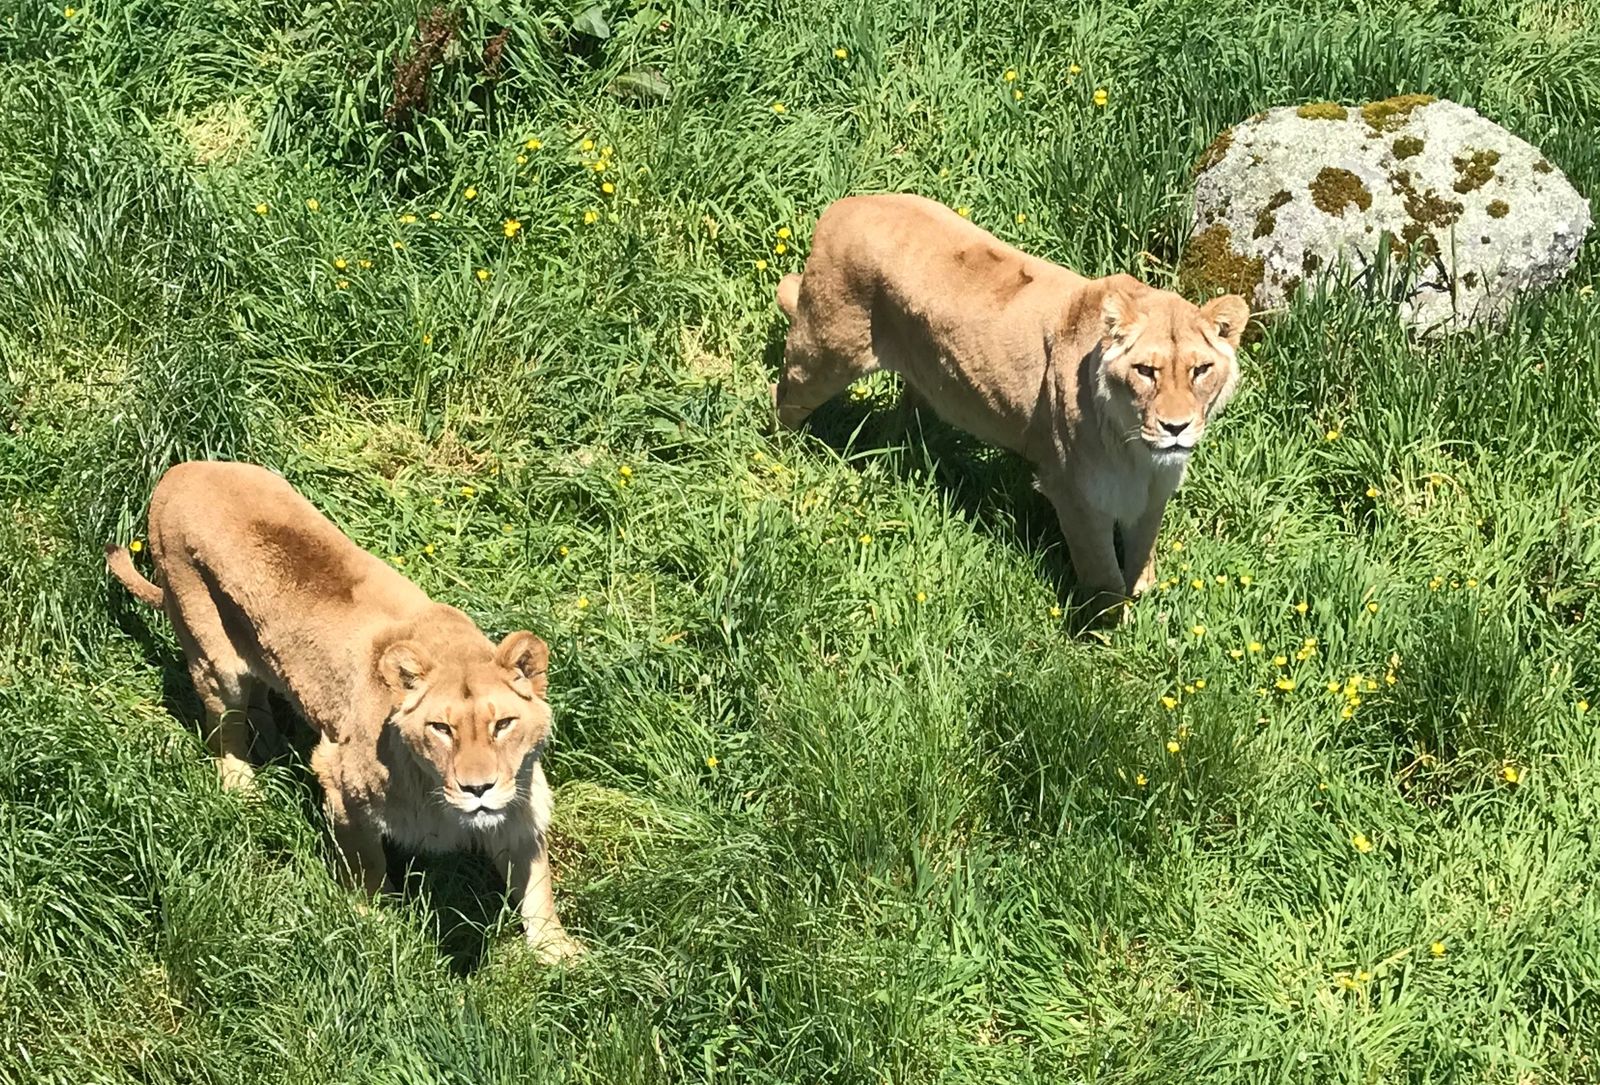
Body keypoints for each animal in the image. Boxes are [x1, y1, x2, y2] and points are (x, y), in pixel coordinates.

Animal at [105, 460, 579, 962]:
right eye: (441, 729)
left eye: (503, 725)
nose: (478, 789)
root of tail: (180, 469)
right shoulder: (337, 778)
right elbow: (365, 865)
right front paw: (376, 924)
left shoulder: (522, 801)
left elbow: (537, 884)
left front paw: (559, 953)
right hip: (212, 656)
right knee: (225, 730)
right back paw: (244, 788)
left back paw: (270, 741)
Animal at [773, 193, 1249, 620]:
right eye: (1146, 371)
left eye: (1201, 370)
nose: (1175, 427)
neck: (1136, 452)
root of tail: (843, 205)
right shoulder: (1073, 493)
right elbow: (1103, 575)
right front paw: (1110, 631)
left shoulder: (1153, 494)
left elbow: (1141, 552)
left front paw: (1147, 595)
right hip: (825, 353)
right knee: (785, 397)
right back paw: (787, 455)